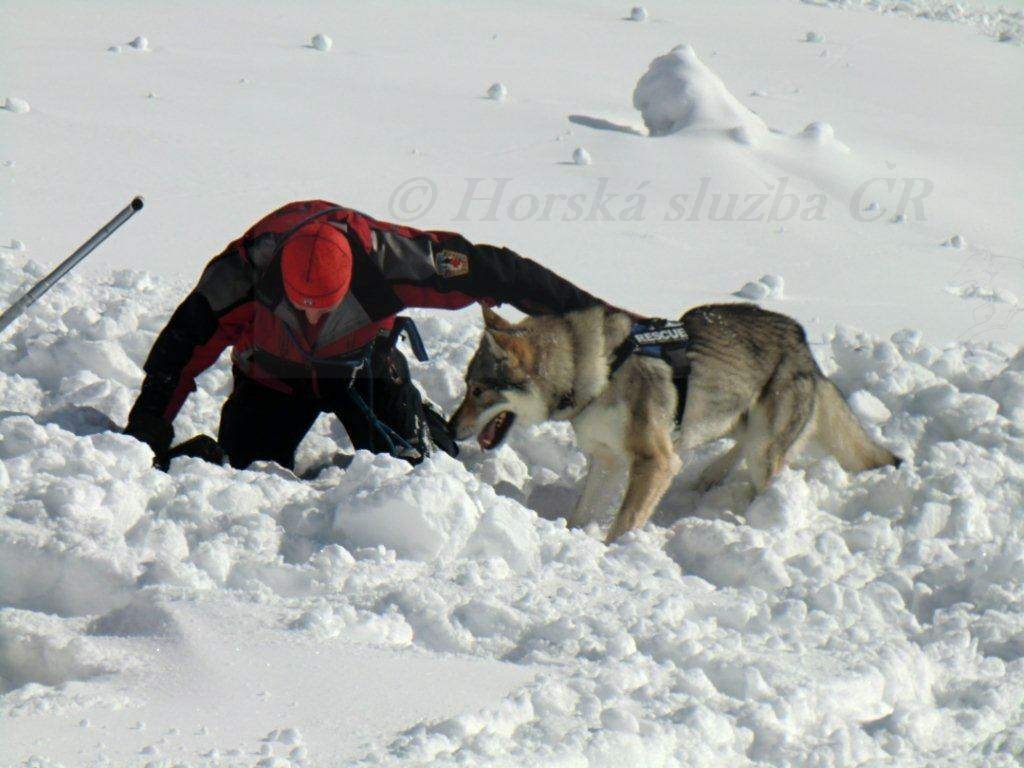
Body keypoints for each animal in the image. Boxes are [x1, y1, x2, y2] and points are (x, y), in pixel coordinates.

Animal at [452, 303, 901, 544]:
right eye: (466, 386)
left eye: (478, 391)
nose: (451, 429)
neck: (599, 375)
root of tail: (802, 340)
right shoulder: (607, 460)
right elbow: (582, 512)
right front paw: (575, 537)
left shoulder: (656, 462)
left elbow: (625, 522)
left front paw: (613, 553)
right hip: (730, 417)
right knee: (741, 444)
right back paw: (710, 475)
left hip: (764, 449)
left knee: (764, 471)